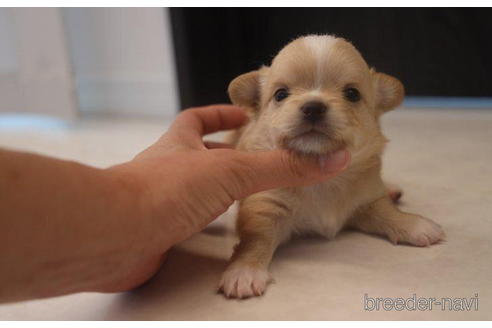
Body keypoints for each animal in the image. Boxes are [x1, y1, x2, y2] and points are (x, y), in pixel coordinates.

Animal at [217, 34, 444, 298]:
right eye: (281, 94)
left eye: (352, 94)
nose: (313, 106)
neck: (322, 177)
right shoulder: (264, 205)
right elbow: (255, 239)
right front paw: (244, 271)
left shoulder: (367, 199)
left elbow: (386, 211)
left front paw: (413, 224)